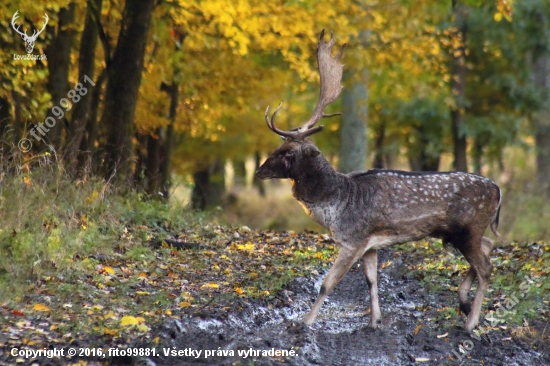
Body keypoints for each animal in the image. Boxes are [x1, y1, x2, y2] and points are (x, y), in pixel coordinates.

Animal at [256, 30, 502, 334]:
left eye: (288, 152)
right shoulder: (369, 245)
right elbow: (371, 281)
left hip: (469, 228)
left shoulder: (352, 240)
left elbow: (327, 284)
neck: (335, 204)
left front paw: (304, 322)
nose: (259, 171)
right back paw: (464, 302)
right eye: (279, 147)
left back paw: (470, 322)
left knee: (486, 267)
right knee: (489, 247)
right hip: (462, 233)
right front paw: (374, 321)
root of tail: (498, 190)